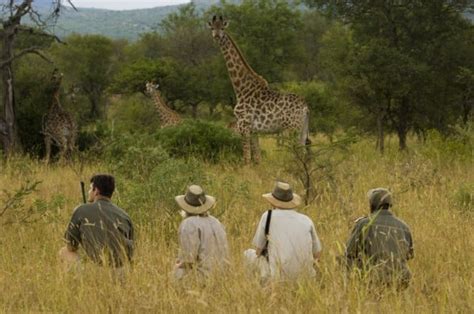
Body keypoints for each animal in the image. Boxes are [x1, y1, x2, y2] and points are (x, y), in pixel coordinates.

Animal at [208, 15, 312, 164]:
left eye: (222, 28)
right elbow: (257, 158)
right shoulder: (254, 130)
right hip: (302, 129)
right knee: (303, 153)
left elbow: (246, 158)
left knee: (297, 154)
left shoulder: (243, 126)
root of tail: (305, 107)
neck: (241, 89)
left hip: (291, 129)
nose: (216, 36)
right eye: (212, 28)